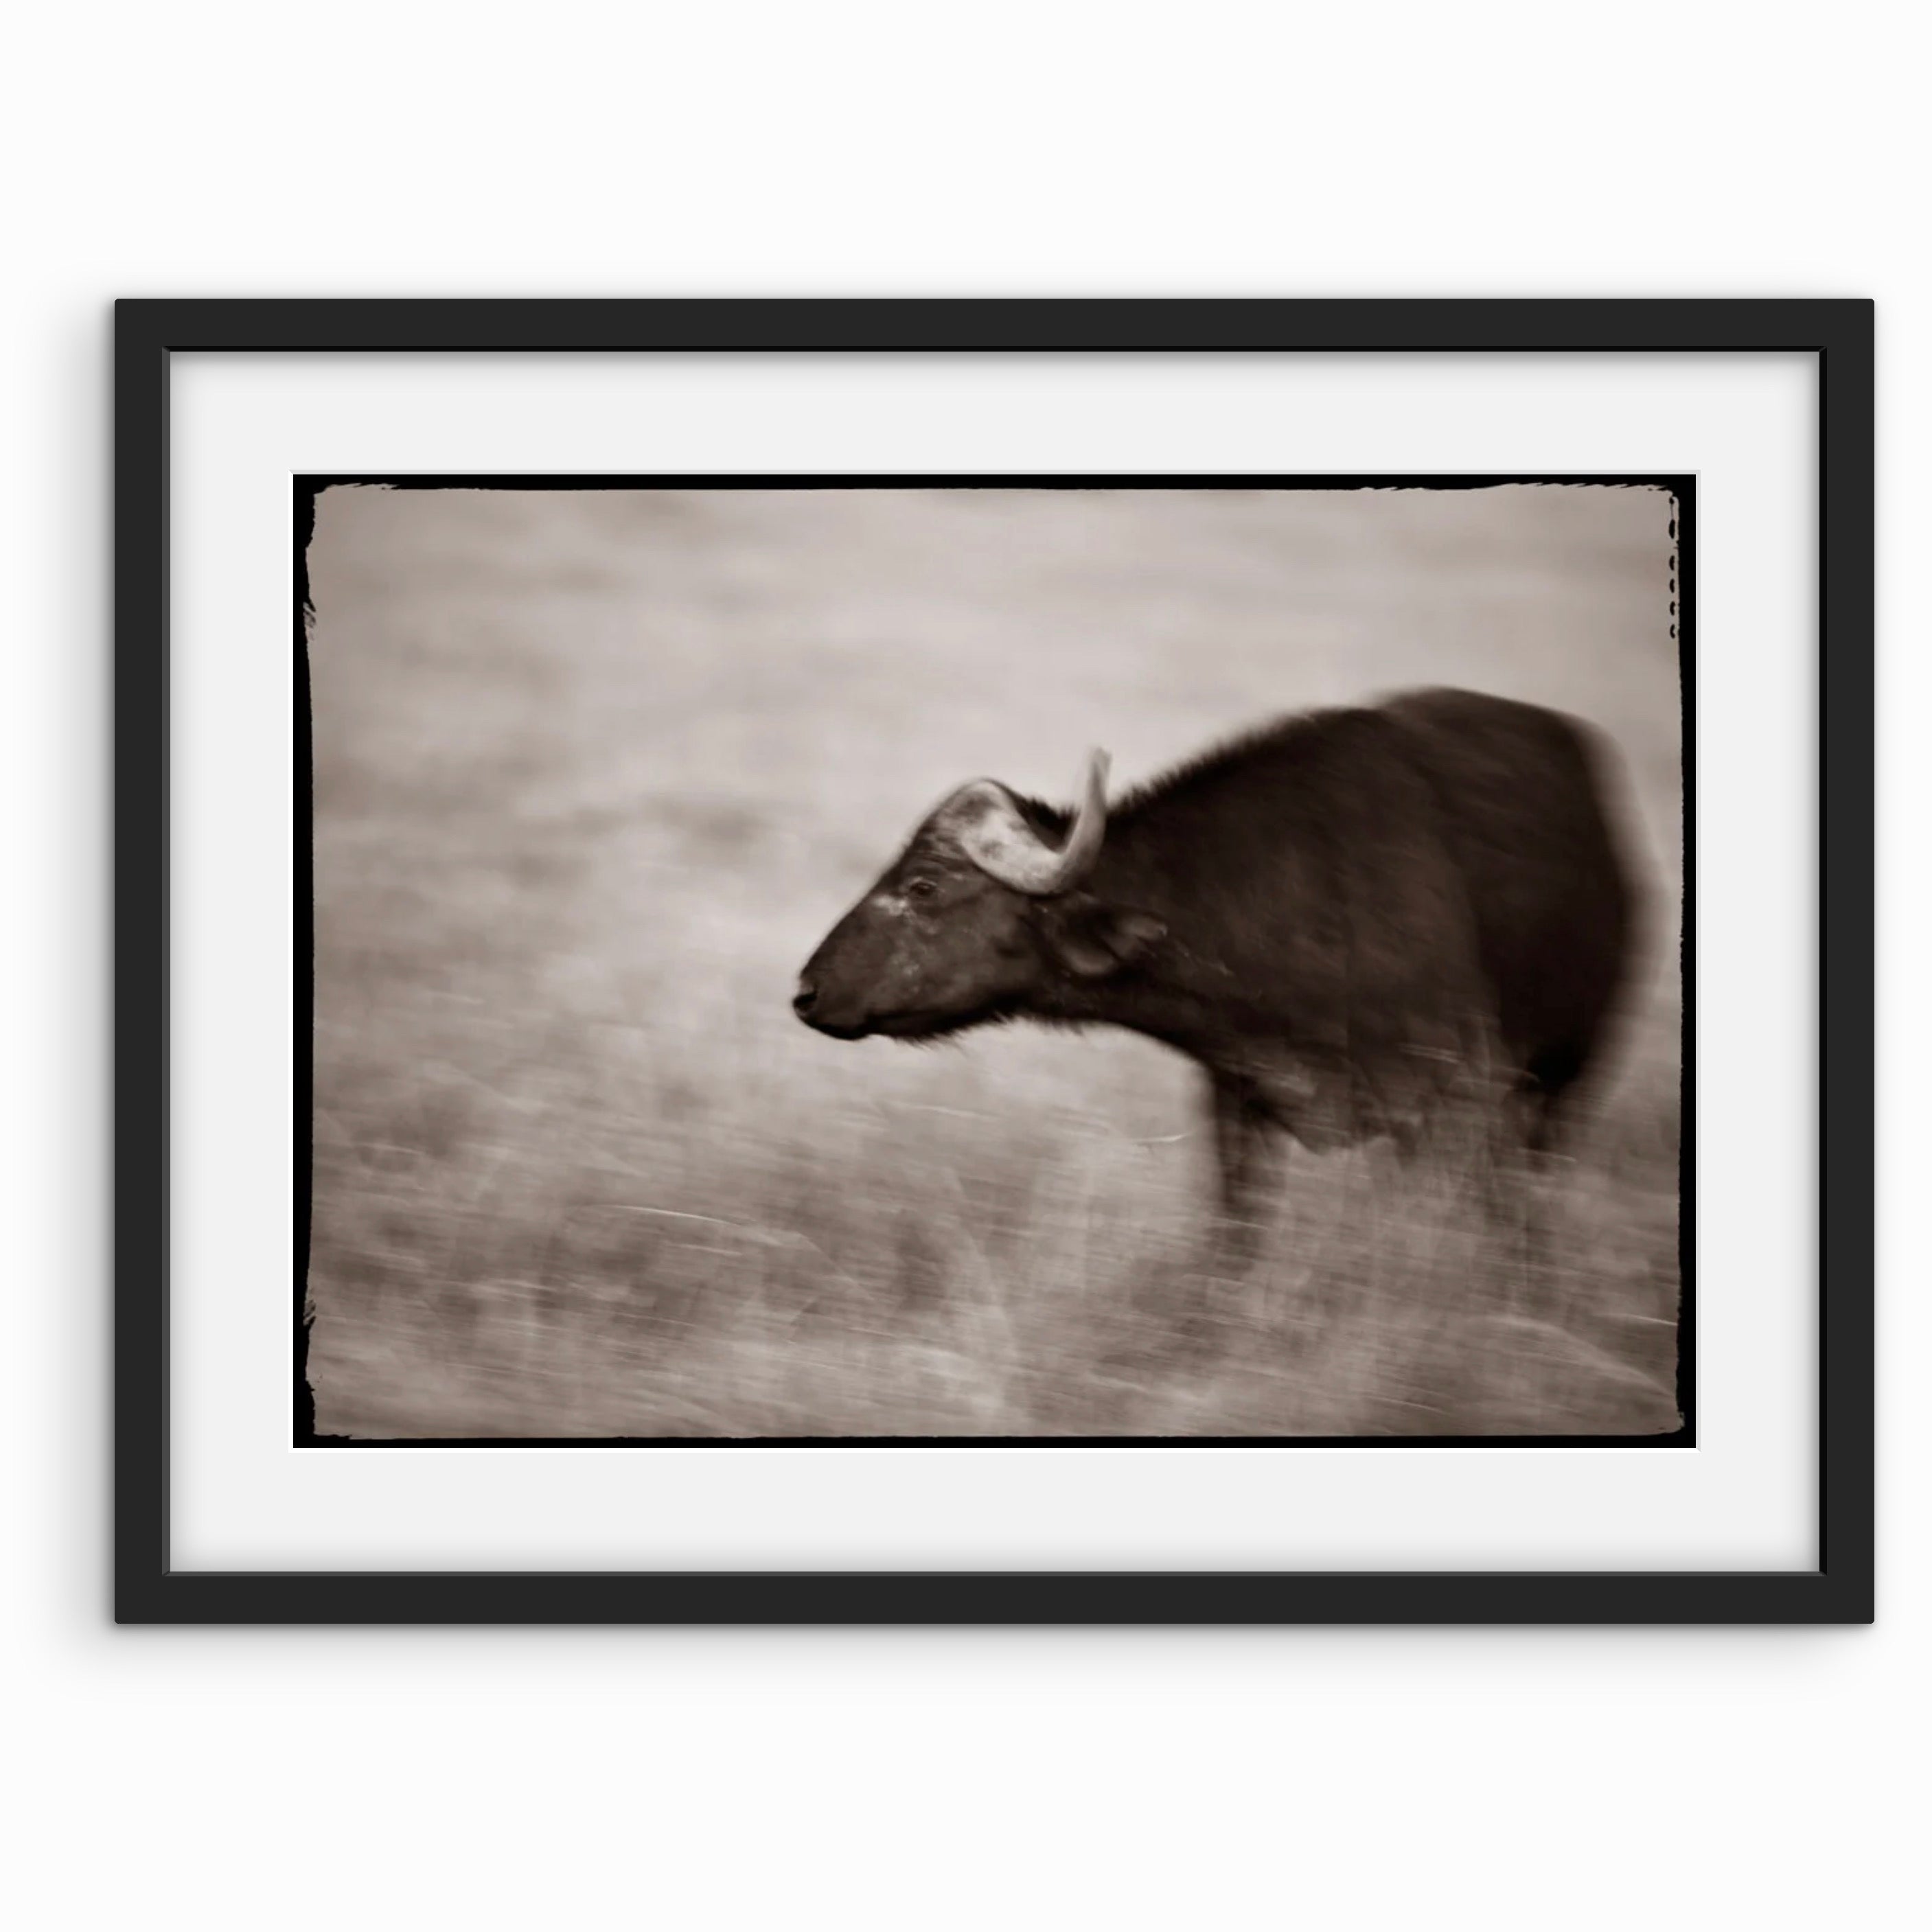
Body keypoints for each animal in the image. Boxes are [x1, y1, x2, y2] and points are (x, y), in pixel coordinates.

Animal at [795, 688, 1639, 1245]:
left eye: (924, 886)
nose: (807, 991)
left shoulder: (1456, 1105)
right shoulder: (1238, 1105)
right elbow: (1237, 1242)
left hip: (1560, 1088)